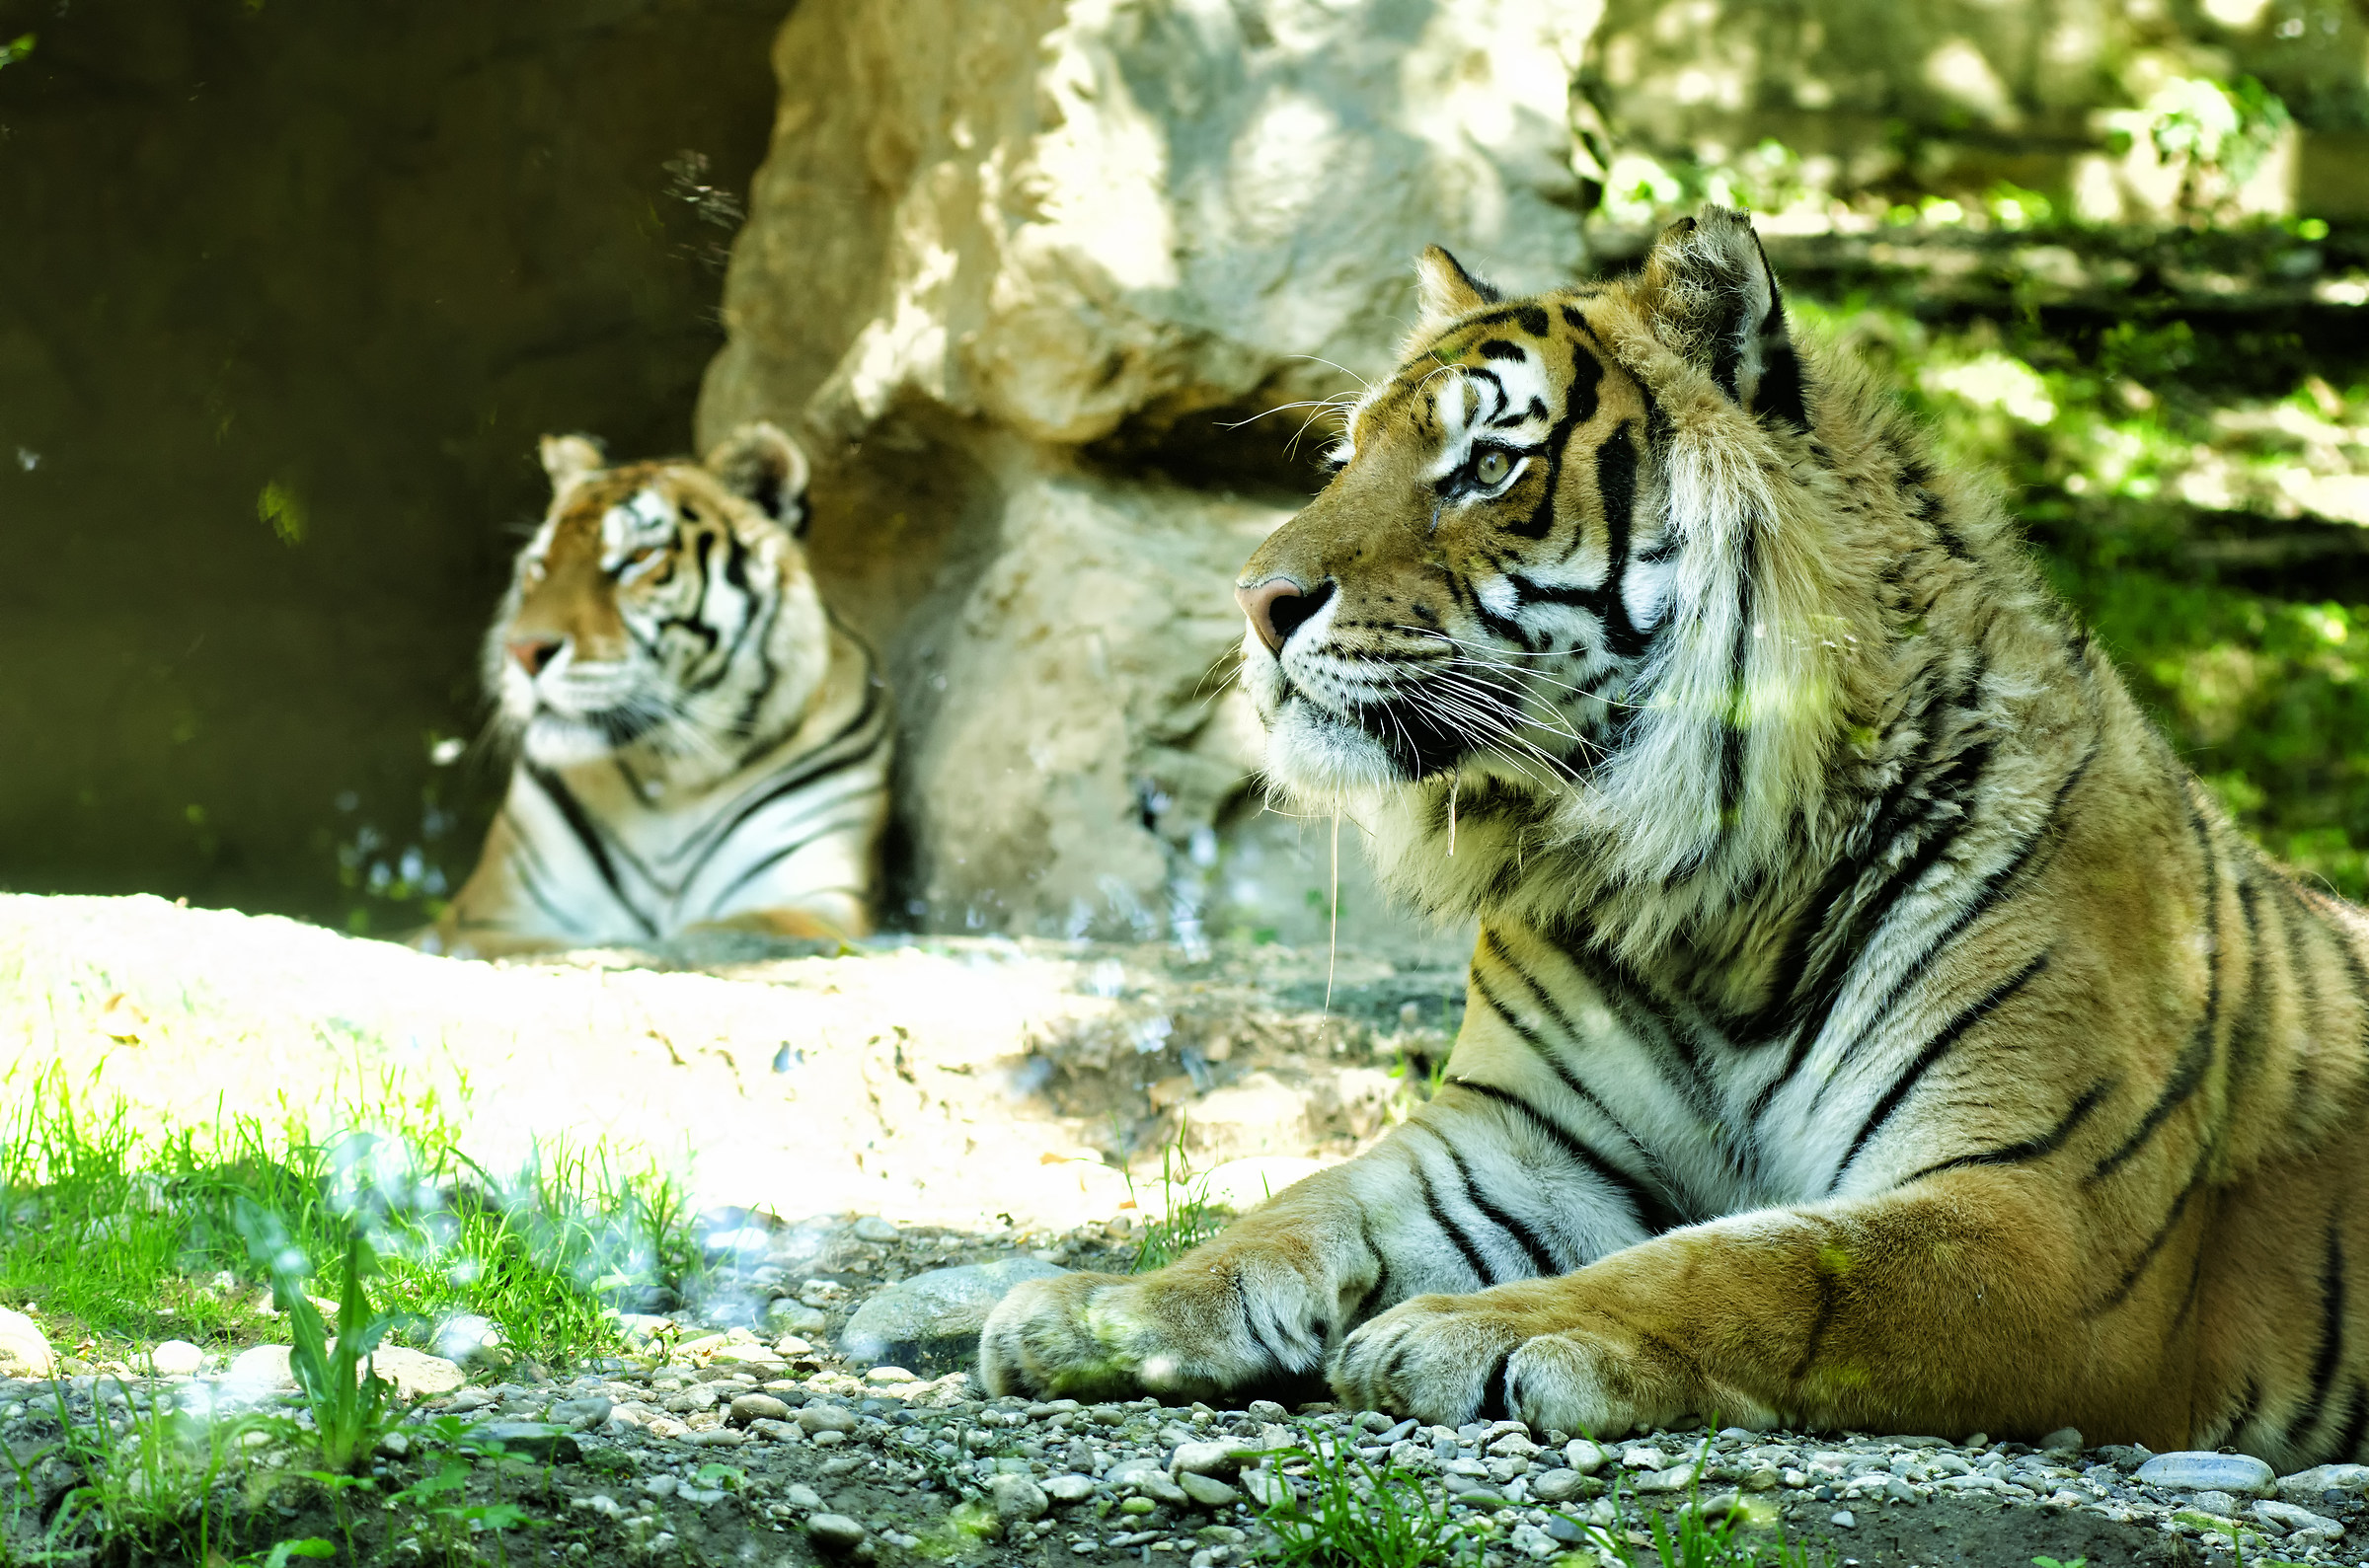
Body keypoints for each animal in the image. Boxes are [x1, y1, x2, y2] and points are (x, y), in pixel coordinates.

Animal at [433, 421, 891, 955]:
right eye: (540, 566)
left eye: (639, 557)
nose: (522, 651)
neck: (670, 778)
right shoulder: (488, 920)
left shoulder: (813, 898)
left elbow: (730, 929)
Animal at [981, 208, 2369, 1463]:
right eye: (1344, 456)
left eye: (1486, 467)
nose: (1256, 601)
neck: (1714, 895)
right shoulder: (1510, 1140)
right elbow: (1295, 1206)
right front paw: (1106, 1310)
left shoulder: (2034, 1213)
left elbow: (1768, 1265)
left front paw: (1481, 1329)